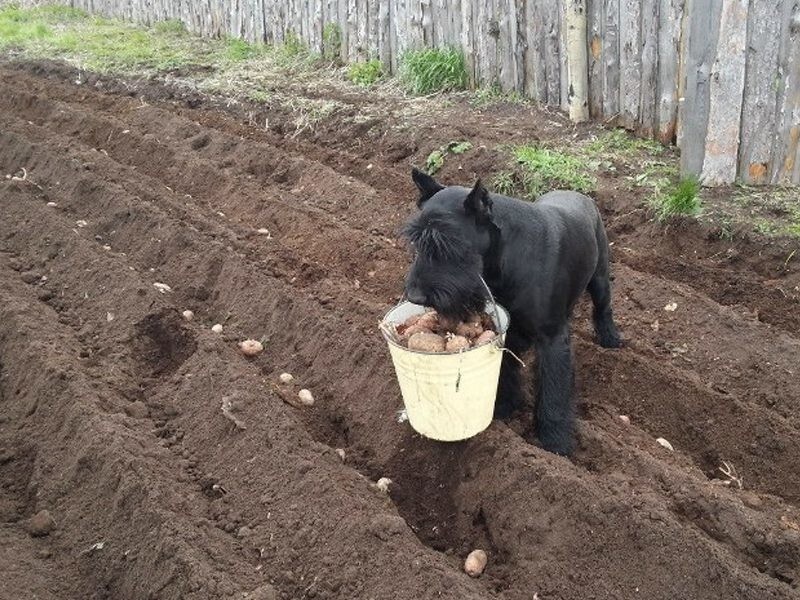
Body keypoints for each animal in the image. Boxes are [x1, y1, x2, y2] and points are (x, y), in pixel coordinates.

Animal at [404, 169, 620, 454]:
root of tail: (581, 195)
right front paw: (505, 406)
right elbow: (505, 371)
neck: (503, 258)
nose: (415, 296)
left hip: (600, 278)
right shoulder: (505, 327)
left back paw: (610, 338)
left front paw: (556, 442)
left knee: (603, 308)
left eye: (448, 243)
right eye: (417, 242)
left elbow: (554, 390)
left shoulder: (552, 339)